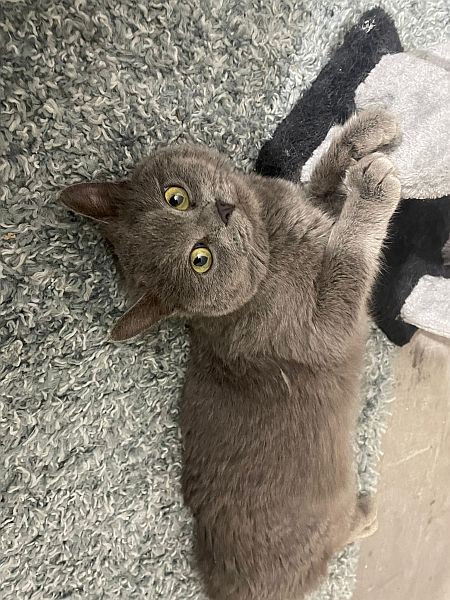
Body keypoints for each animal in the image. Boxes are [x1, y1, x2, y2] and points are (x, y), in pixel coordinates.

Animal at [61, 108, 401, 600]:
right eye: (199, 259)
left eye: (176, 197)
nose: (222, 211)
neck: (271, 238)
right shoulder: (324, 326)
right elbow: (348, 256)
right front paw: (374, 188)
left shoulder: (309, 207)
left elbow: (321, 178)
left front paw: (368, 130)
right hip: (325, 526)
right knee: (341, 535)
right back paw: (368, 512)